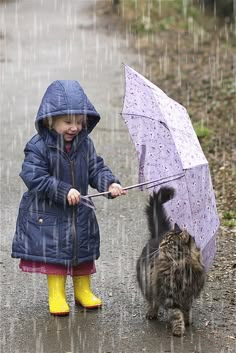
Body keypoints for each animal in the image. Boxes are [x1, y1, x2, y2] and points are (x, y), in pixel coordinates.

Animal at [136, 186, 206, 334]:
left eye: (168, 242)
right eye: (164, 241)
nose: (161, 245)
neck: (182, 267)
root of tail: (156, 235)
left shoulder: (188, 295)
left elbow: (186, 310)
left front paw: (187, 321)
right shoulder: (169, 296)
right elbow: (176, 313)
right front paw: (179, 329)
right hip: (147, 283)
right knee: (152, 301)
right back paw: (152, 313)